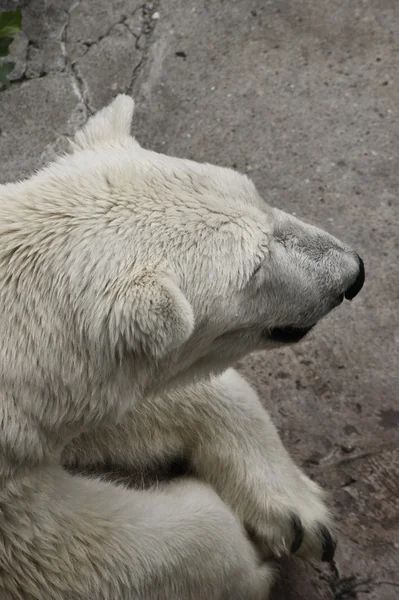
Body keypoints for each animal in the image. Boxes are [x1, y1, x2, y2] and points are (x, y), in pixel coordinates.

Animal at [0, 96, 364, 596]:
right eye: (255, 267)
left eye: (259, 196)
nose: (352, 274)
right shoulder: (9, 500)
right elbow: (71, 559)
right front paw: (252, 563)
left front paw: (297, 513)